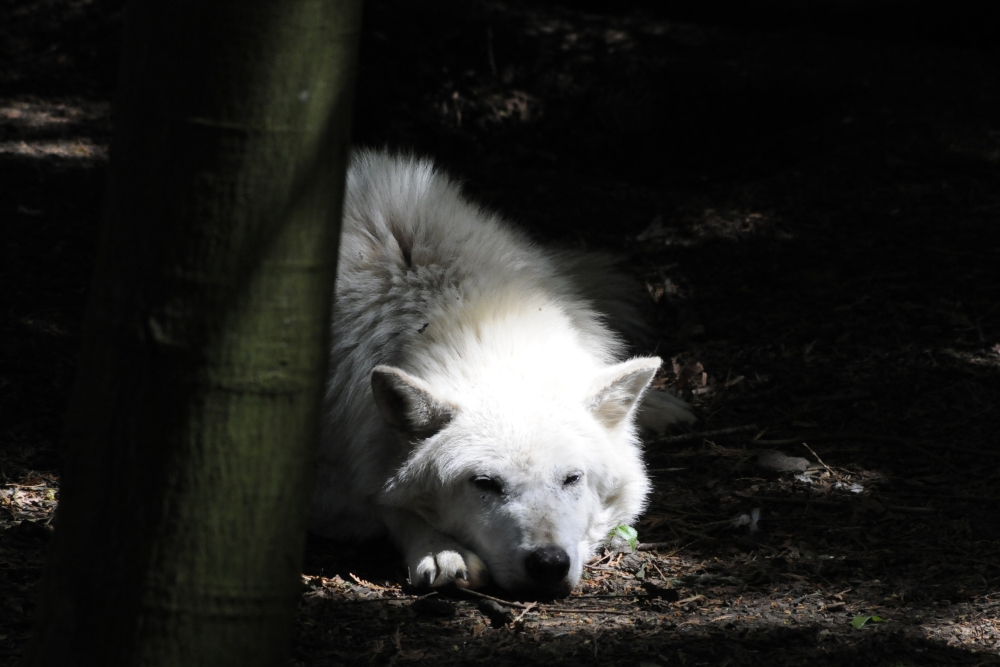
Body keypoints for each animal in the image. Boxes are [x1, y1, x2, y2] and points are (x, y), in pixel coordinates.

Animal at [310, 150, 695, 598]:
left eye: (572, 478)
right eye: (484, 483)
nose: (549, 563)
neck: (461, 313)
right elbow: (386, 502)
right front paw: (440, 550)